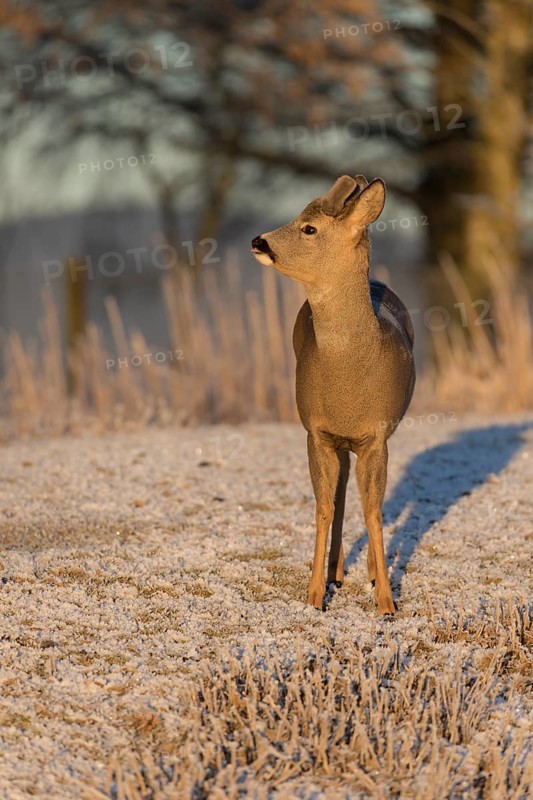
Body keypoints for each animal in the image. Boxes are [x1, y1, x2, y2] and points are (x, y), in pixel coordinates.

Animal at [251, 174, 415, 614]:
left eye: (309, 228)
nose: (259, 241)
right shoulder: (317, 432)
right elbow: (324, 508)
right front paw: (314, 596)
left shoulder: (376, 436)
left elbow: (374, 510)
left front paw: (386, 602)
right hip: (336, 444)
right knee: (340, 496)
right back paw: (335, 572)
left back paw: (367, 571)